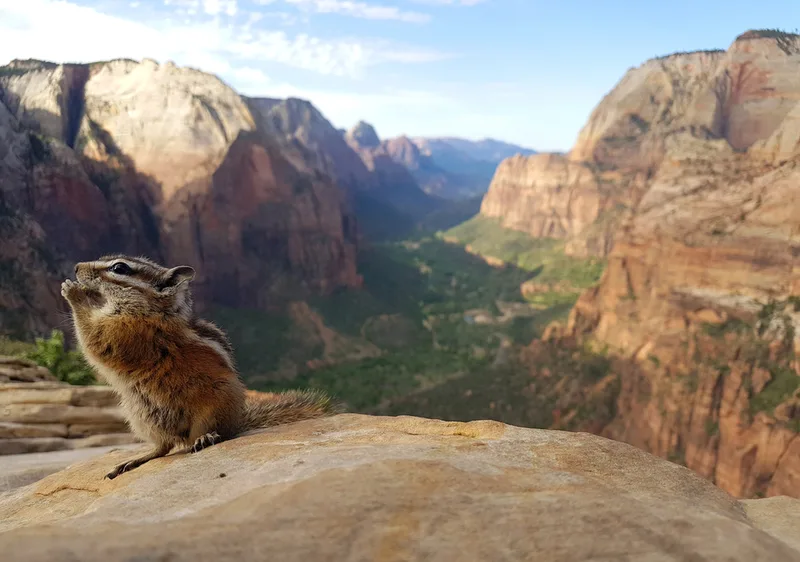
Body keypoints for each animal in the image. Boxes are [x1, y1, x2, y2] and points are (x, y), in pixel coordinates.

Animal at [60, 254, 340, 480]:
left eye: (119, 268)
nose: (75, 267)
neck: (149, 309)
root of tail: (237, 421)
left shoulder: (123, 333)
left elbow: (95, 342)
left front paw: (74, 292)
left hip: (210, 408)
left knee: (209, 435)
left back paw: (207, 437)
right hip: (141, 414)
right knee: (163, 447)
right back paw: (135, 459)